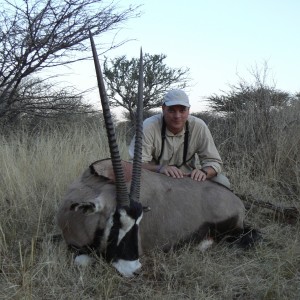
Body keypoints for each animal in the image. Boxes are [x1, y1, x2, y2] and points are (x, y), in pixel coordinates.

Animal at [57, 32, 258, 276]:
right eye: (115, 222)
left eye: (138, 223)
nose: (133, 268)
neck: (95, 183)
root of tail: (236, 201)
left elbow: (83, 260)